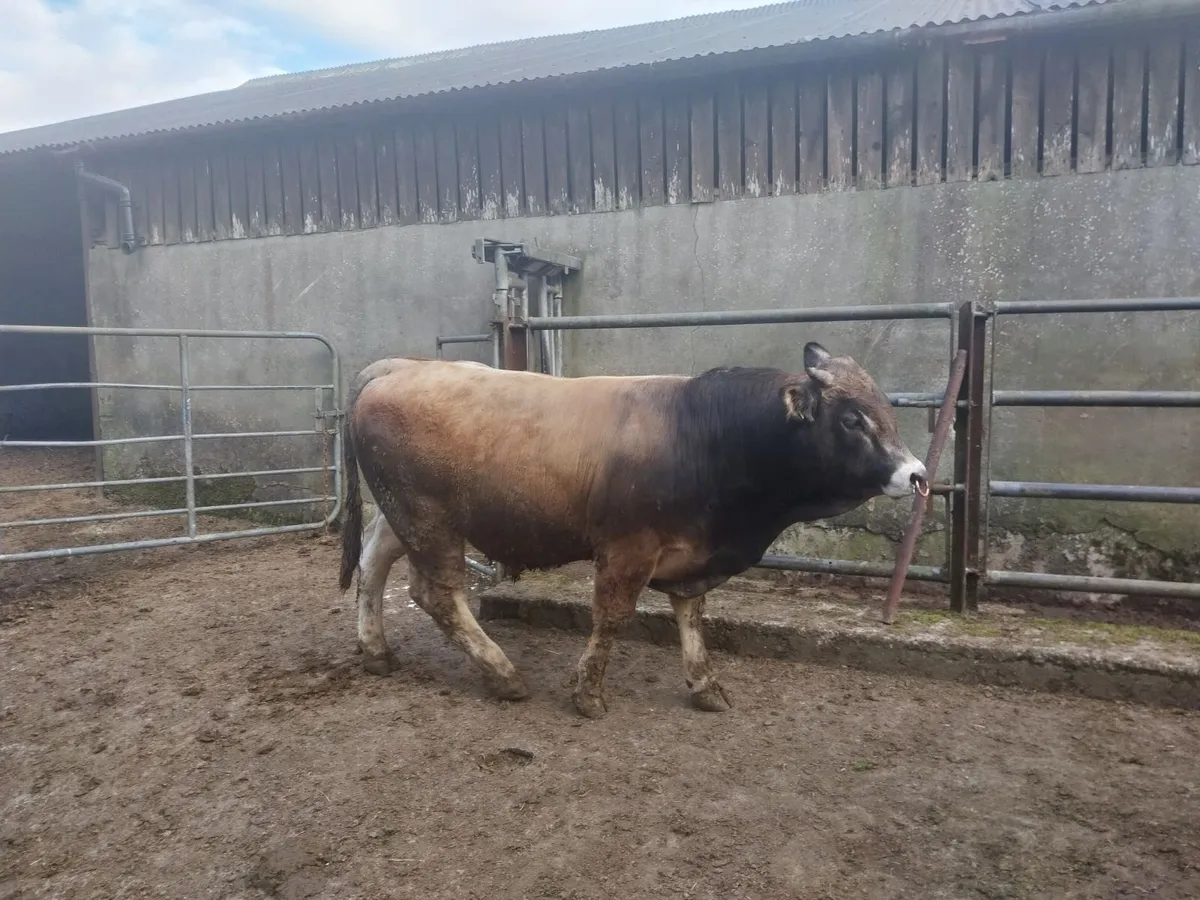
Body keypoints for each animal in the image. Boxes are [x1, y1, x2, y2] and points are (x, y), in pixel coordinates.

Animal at [338, 343, 927, 719]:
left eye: (885, 408)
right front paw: (588, 694)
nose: (917, 474)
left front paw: (705, 685)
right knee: (435, 593)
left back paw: (376, 651)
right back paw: (502, 674)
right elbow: (613, 618)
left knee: (373, 565)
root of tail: (399, 368)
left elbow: (692, 616)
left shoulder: (692, 555)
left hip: (400, 517)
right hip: (427, 519)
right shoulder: (628, 547)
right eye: (851, 419)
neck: (703, 434)